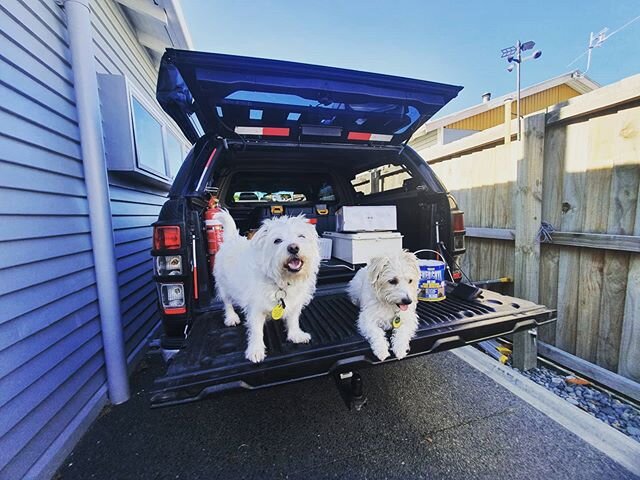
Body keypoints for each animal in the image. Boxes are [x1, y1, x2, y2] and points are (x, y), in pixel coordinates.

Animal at [212, 212, 320, 362]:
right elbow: (256, 331)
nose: (293, 247)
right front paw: (256, 350)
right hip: (224, 285)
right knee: (227, 302)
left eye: (301, 236)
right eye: (277, 240)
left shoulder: (296, 303)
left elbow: (293, 320)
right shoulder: (255, 309)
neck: (282, 280)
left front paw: (295, 335)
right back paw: (231, 317)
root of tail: (232, 238)